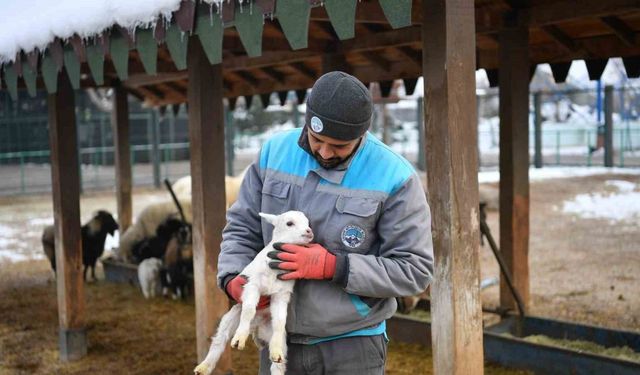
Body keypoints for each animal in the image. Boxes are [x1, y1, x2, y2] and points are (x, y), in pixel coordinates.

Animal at [195, 212, 316, 375]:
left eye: (307, 222)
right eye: (289, 223)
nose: (309, 231)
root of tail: (256, 327)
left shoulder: (281, 294)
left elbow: (279, 321)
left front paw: (276, 349)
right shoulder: (252, 285)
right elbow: (249, 310)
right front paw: (239, 339)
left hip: (273, 334)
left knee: (278, 363)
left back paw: (276, 354)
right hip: (231, 317)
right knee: (219, 341)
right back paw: (204, 367)